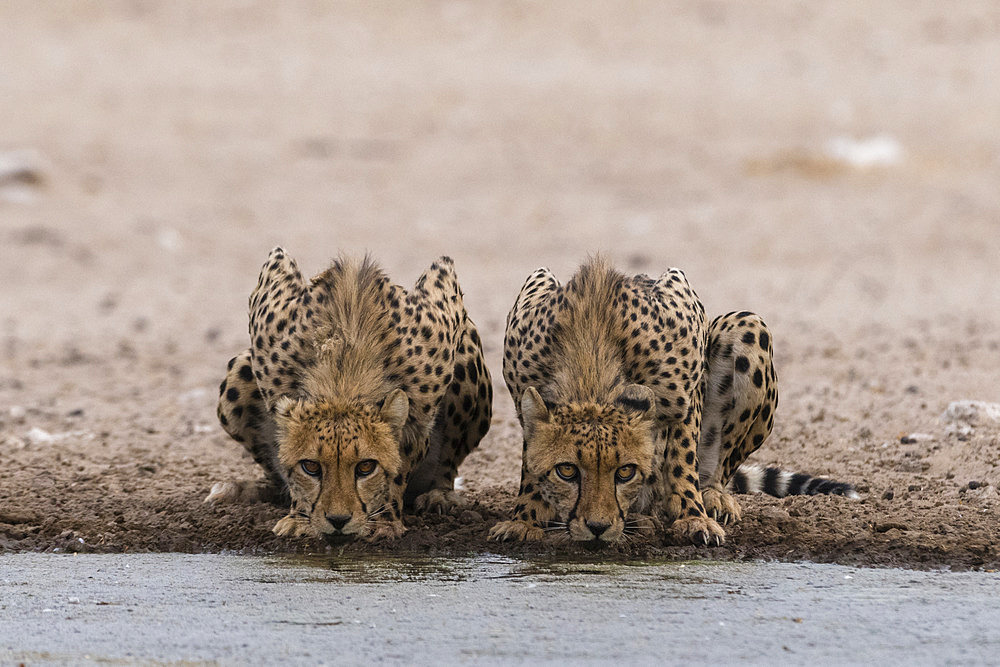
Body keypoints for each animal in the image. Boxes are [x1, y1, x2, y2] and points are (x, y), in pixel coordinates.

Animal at [210, 250, 492, 544]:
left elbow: (398, 464)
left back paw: (440, 496)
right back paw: (244, 489)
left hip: (467, 359)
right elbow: (291, 465)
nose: (338, 520)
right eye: (311, 467)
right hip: (239, 373)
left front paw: (384, 520)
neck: (344, 370)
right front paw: (299, 518)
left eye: (365, 467)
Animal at [488, 258, 856, 544]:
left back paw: (711, 498)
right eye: (567, 470)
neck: (592, 359)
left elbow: (682, 457)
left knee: (716, 469)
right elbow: (530, 462)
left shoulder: (686, 390)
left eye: (625, 472)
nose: (597, 527)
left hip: (746, 325)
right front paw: (525, 518)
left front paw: (694, 518)